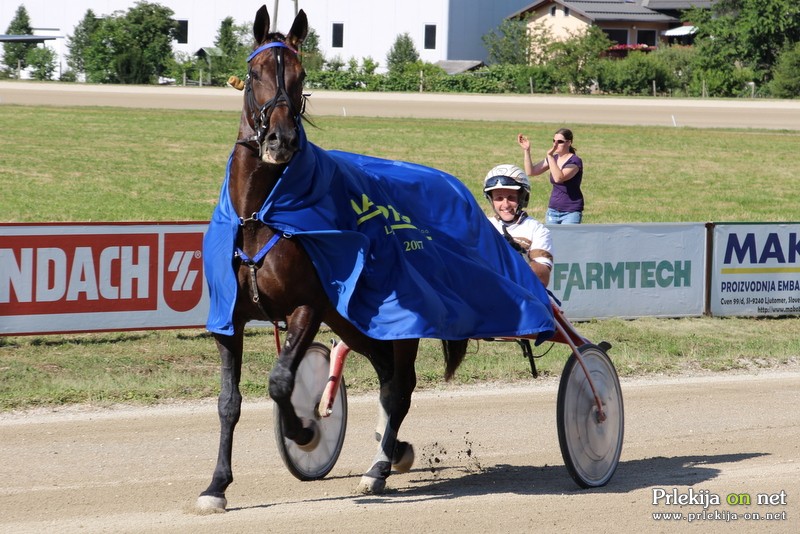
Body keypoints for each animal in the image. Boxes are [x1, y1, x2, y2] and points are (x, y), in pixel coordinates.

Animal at [195, 5, 468, 516]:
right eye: (254, 73)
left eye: (301, 75)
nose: (280, 139)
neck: (262, 215)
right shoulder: (229, 317)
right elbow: (228, 401)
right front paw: (216, 485)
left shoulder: (310, 305)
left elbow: (281, 382)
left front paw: (304, 430)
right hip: (354, 321)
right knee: (387, 378)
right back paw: (392, 452)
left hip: (394, 321)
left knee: (401, 386)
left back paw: (379, 467)